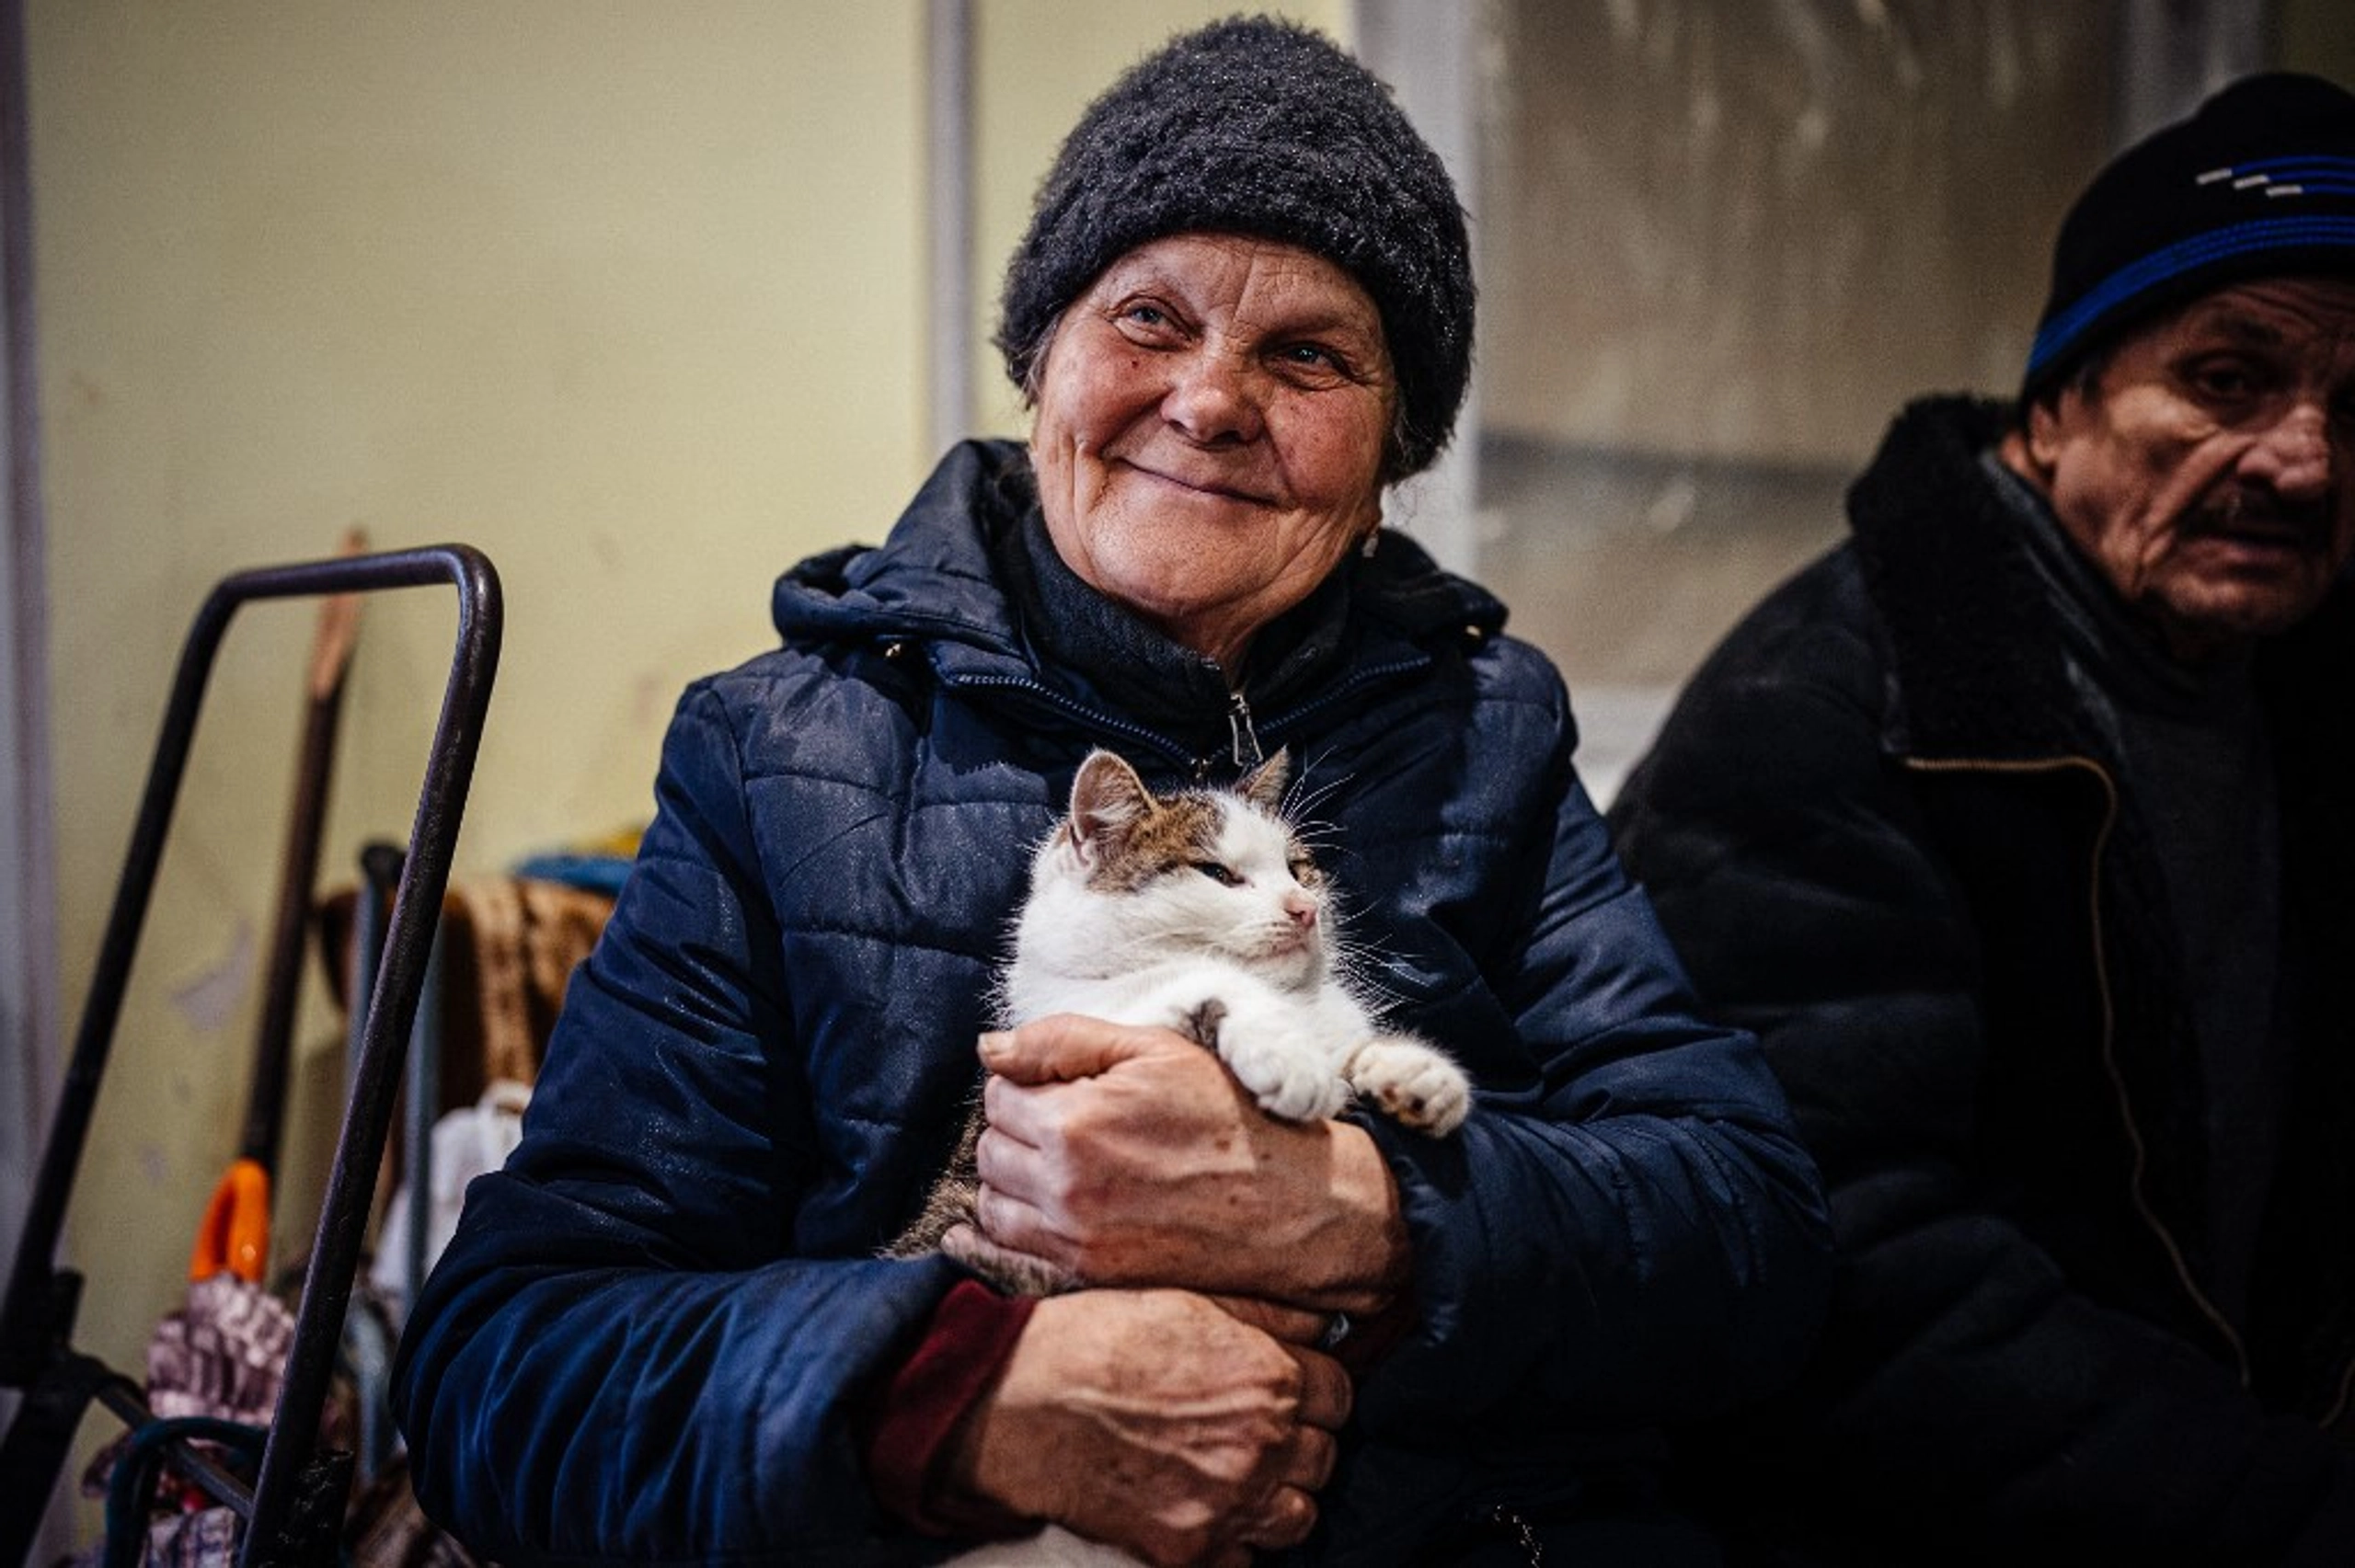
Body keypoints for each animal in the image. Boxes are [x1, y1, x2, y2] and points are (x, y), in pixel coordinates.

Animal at [885, 743, 1460, 1289]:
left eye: (1298, 869)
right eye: (1218, 874)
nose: (1305, 908)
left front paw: (1414, 1073)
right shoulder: (1073, 1024)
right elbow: (1202, 982)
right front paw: (1289, 1054)